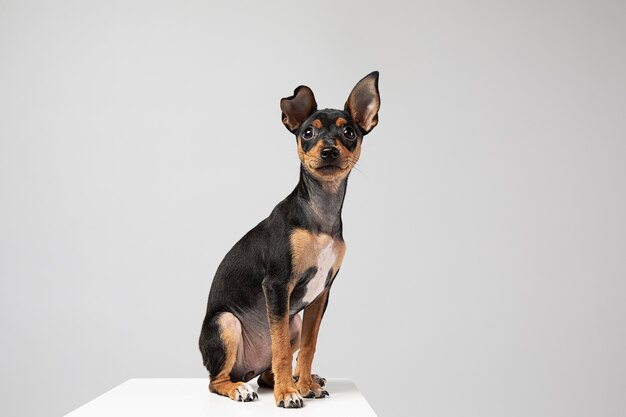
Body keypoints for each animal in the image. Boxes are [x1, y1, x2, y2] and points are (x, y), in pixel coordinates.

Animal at [197, 70, 378, 406]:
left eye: (349, 132)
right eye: (307, 133)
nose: (329, 151)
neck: (319, 216)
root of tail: (246, 370)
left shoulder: (320, 295)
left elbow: (308, 346)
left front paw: (304, 385)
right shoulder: (277, 285)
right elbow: (280, 350)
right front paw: (288, 395)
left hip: (291, 321)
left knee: (265, 374)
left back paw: (294, 380)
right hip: (226, 322)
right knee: (217, 381)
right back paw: (242, 388)